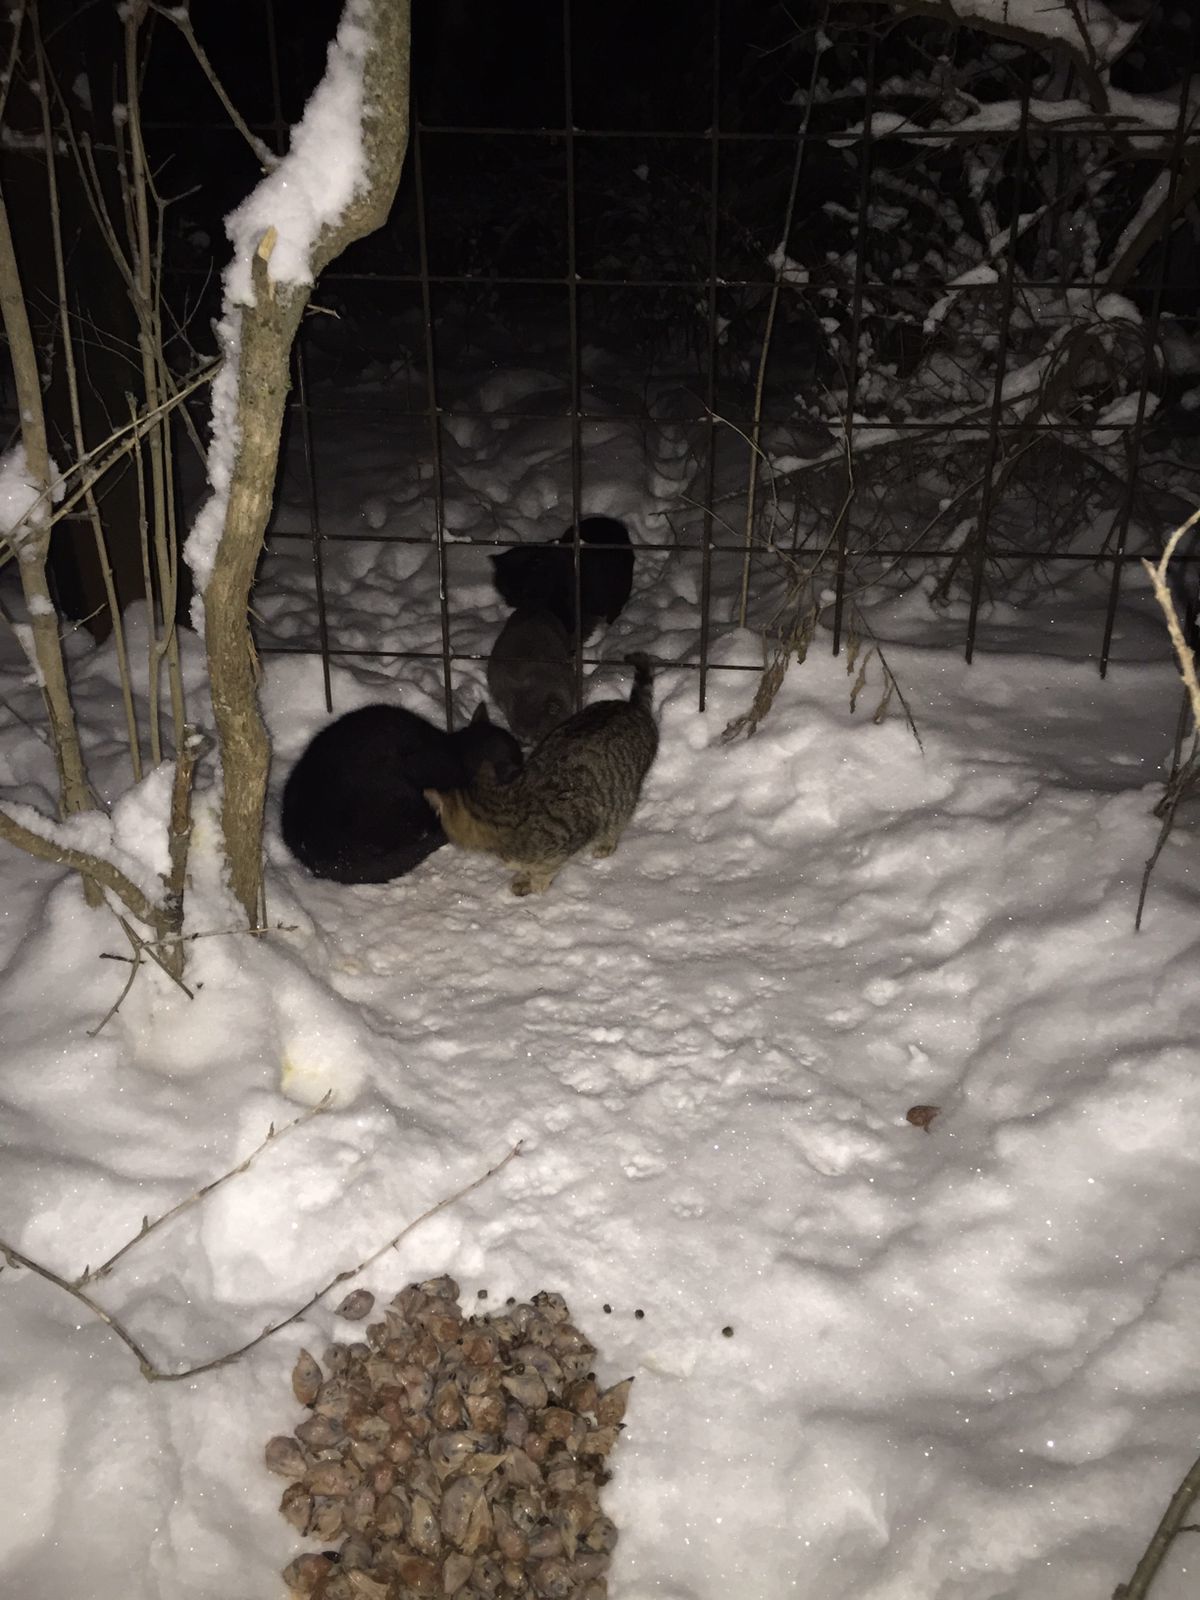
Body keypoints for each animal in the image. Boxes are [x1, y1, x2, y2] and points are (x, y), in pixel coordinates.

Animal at [428, 652, 662, 902]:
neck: (502, 808)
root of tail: (631, 706)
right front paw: (523, 876)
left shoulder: (582, 826)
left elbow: (548, 864)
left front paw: (537, 881)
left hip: (621, 796)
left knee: (618, 818)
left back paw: (606, 843)